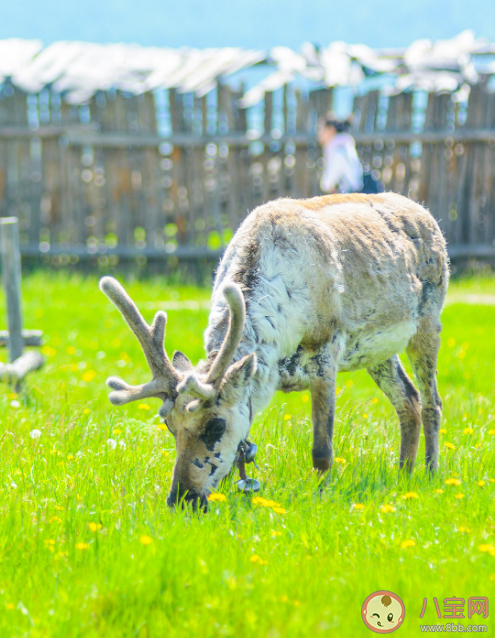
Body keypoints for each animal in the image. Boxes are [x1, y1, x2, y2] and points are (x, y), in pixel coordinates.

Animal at [101, 192, 450, 512]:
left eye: (216, 425)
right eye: (169, 426)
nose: (183, 500)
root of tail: (426, 214)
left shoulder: (326, 349)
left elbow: (322, 450)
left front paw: (320, 499)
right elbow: (238, 454)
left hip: (428, 321)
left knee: (432, 401)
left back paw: (431, 475)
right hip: (378, 350)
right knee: (408, 399)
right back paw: (404, 476)